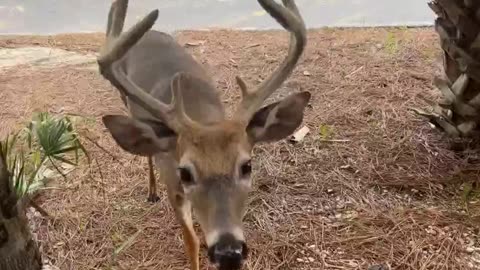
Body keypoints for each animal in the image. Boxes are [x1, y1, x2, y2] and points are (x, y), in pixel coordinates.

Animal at [96, 0, 310, 270]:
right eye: (185, 173)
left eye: (247, 166)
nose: (228, 252)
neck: (199, 113)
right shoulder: (174, 184)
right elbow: (192, 242)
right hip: (125, 99)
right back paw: (152, 192)